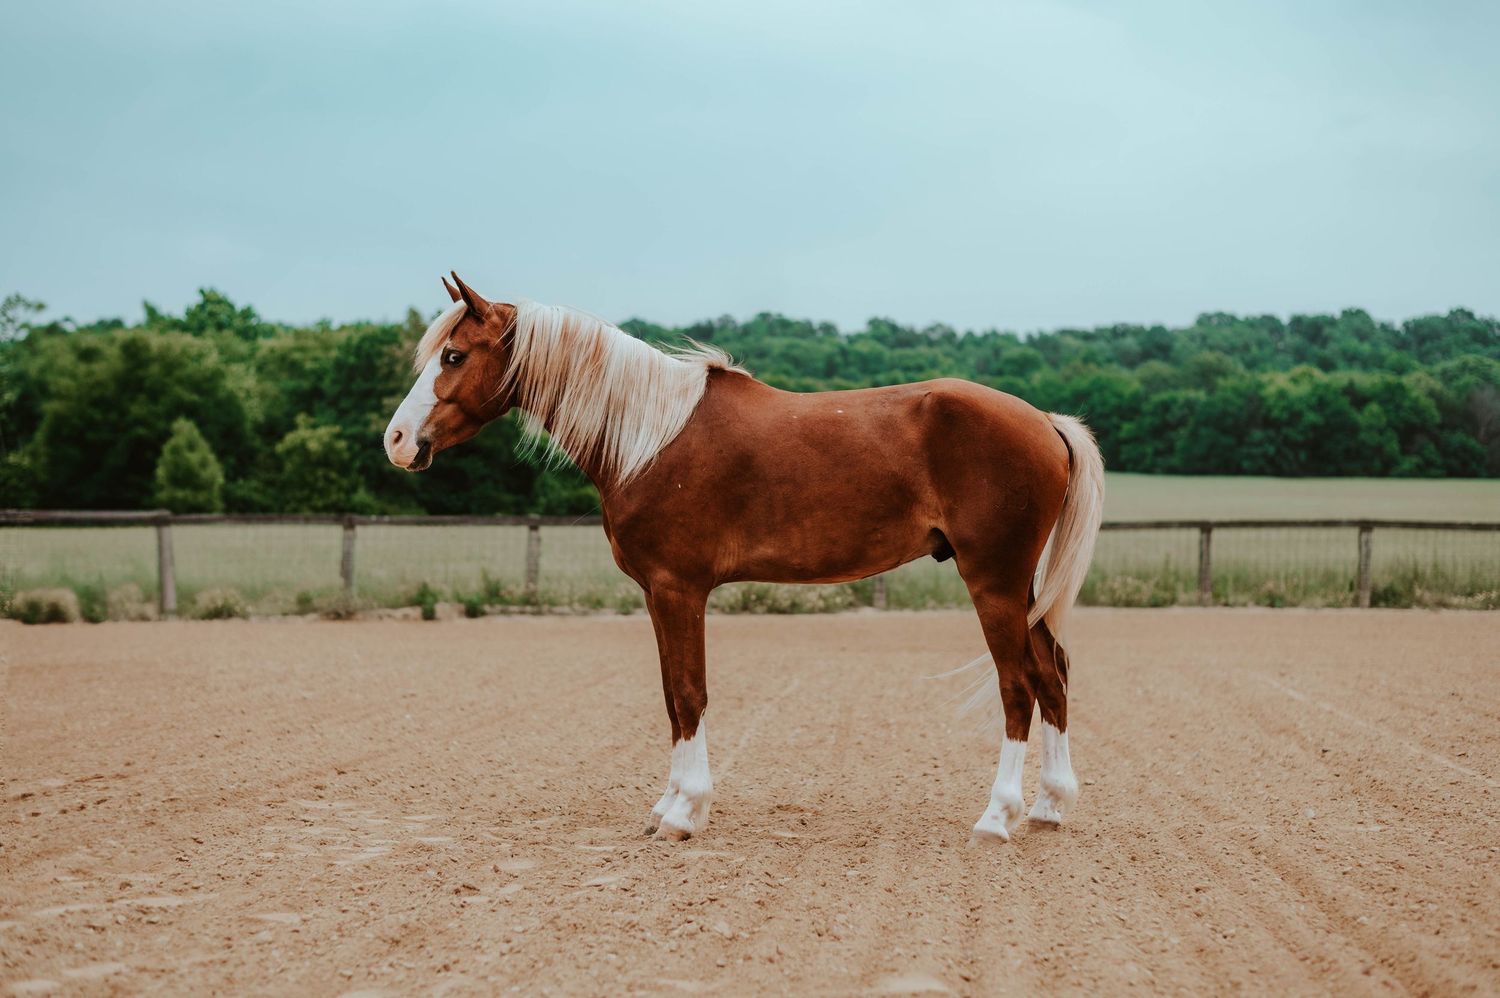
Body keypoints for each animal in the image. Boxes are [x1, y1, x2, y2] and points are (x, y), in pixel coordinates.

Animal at [384, 274, 1104, 844]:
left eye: (453, 354)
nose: (396, 440)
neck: (649, 437)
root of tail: (1044, 421)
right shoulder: (657, 594)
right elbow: (672, 696)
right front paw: (668, 807)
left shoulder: (679, 589)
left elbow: (689, 692)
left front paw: (684, 814)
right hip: (1023, 589)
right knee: (1053, 677)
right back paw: (1048, 808)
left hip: (994, 582)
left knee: (1018, 687)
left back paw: (997, 817)